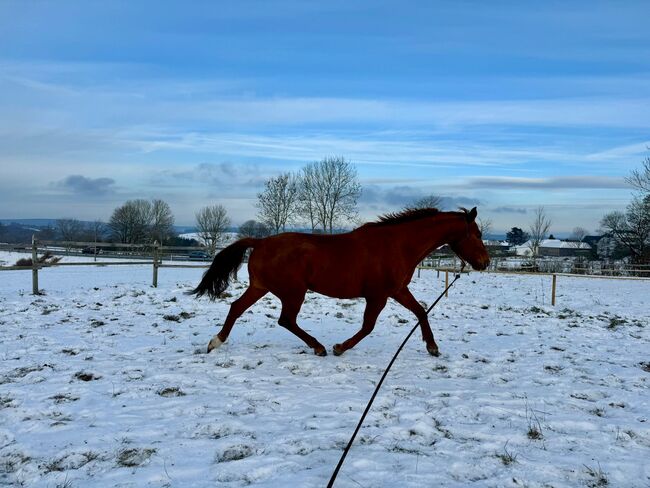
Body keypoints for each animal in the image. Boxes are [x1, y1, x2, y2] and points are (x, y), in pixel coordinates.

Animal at [190, 208, 488, 356]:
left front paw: (432, 347)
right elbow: (367, 326)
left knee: (236, 309)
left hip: (260, 288)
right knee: (286, 320)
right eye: (477, 233)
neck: (397, 245)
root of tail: (261, 242)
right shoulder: (378, 295)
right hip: (293, 292)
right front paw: (340, 348)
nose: (484, 262)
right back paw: (320, 347)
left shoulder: (398, 290)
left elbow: (420, 311)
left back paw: (215, 342)